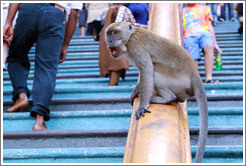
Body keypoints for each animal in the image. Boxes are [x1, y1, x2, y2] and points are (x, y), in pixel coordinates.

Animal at [104, 21, 209, 163]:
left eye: (115, 32)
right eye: (108, 33)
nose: (109, 40)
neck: (130, 37)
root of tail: (194, 74)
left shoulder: (136, 47)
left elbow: (147, 70)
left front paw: (142, 105)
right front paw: (135, 91)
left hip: (178, 80)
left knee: (156, 69)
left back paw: (167, 98)